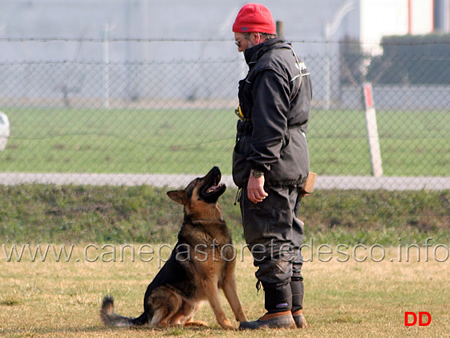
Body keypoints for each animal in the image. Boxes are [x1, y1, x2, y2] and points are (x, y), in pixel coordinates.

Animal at [99, 167, 246, 330]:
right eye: (198, 180)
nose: (216, 167)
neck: (206, 222)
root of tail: (145, 312)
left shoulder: (229, 280)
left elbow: (238, 306)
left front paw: (246, 323)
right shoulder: (210, 282)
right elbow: (219, 309)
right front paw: (228, 326)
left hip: (194, 303)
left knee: (177, 320)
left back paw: (194, 323)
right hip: (172, 296)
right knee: (160, 323)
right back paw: (174, 326)